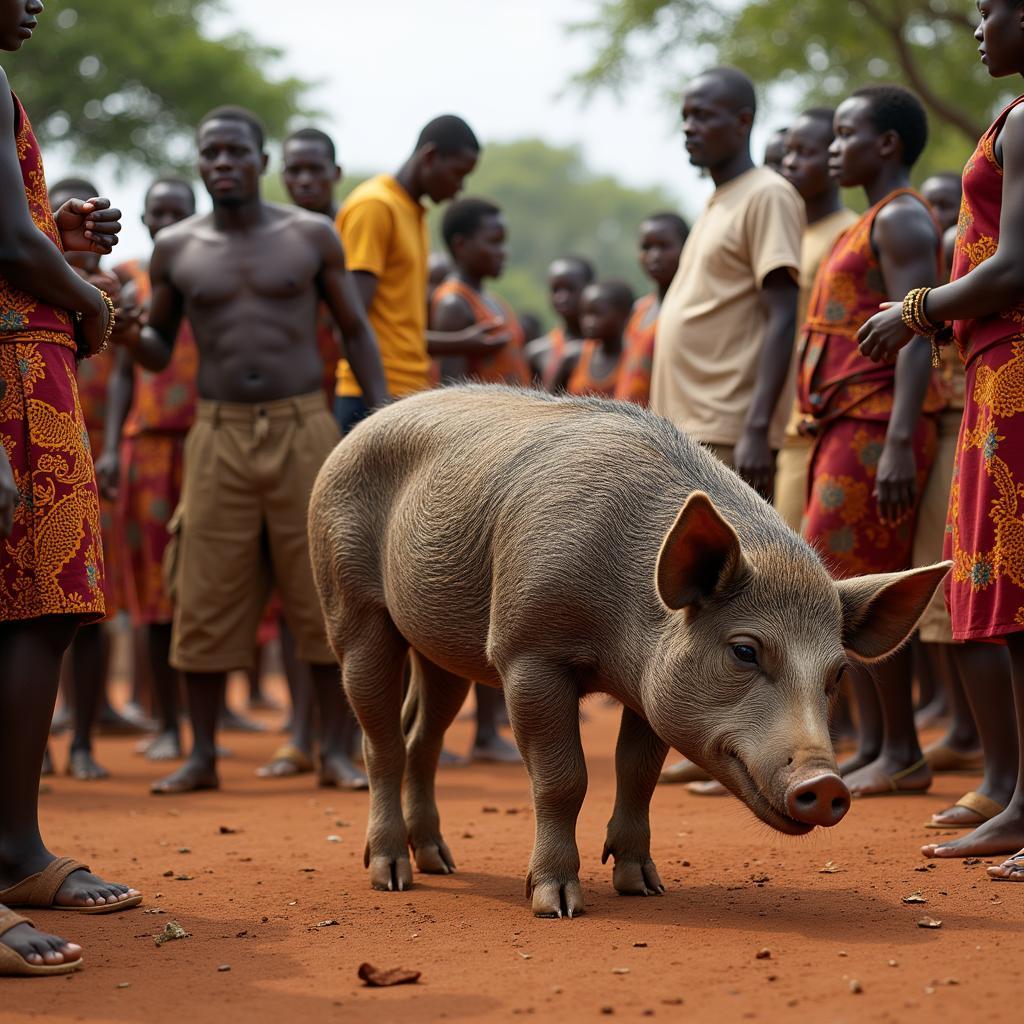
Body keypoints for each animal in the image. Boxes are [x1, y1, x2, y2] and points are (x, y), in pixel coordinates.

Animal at [307, 385, 946, 921]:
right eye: (744, 650)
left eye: (835, 674)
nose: (830, 783)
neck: (619, 629)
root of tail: (361, 427)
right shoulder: (525, 650)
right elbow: (563, 778)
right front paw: (557, 905)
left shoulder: (648, 687)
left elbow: (637, 771)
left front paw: (644, 886)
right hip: (349, 600)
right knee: (382, 740)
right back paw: (393, 875)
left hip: (441, 649)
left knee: (424, 736)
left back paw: (441, 862)